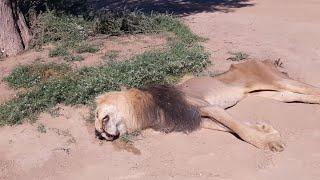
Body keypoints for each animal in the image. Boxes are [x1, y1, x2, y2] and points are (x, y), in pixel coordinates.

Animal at [94, 59, 320, 152]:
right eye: (98, 132)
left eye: (98, 115)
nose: (99, 134)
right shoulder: (200, 119)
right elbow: (230, 128)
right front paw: (265, 129)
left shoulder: (205, 107)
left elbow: (239, 129)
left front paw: (268, 142)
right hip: (275, 94)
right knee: (297, 96)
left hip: (276, 79)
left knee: (311, 89)